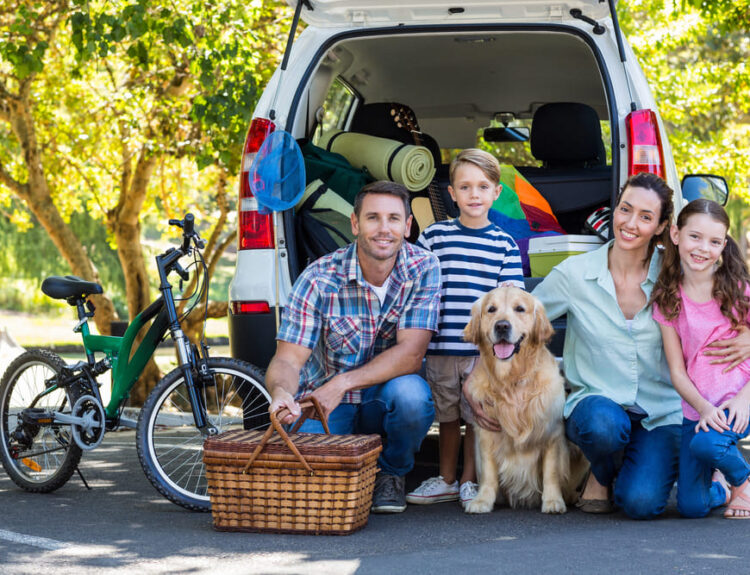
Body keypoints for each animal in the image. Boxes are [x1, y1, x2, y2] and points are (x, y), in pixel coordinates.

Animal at [464, 286, 588, 516]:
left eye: (520, 309)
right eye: (491, 309)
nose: (502, 326)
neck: (512, 380)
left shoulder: (552, 433)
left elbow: (551, 472)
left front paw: (553, 501)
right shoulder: (486, 433)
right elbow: (488, 472)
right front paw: (482, 500)